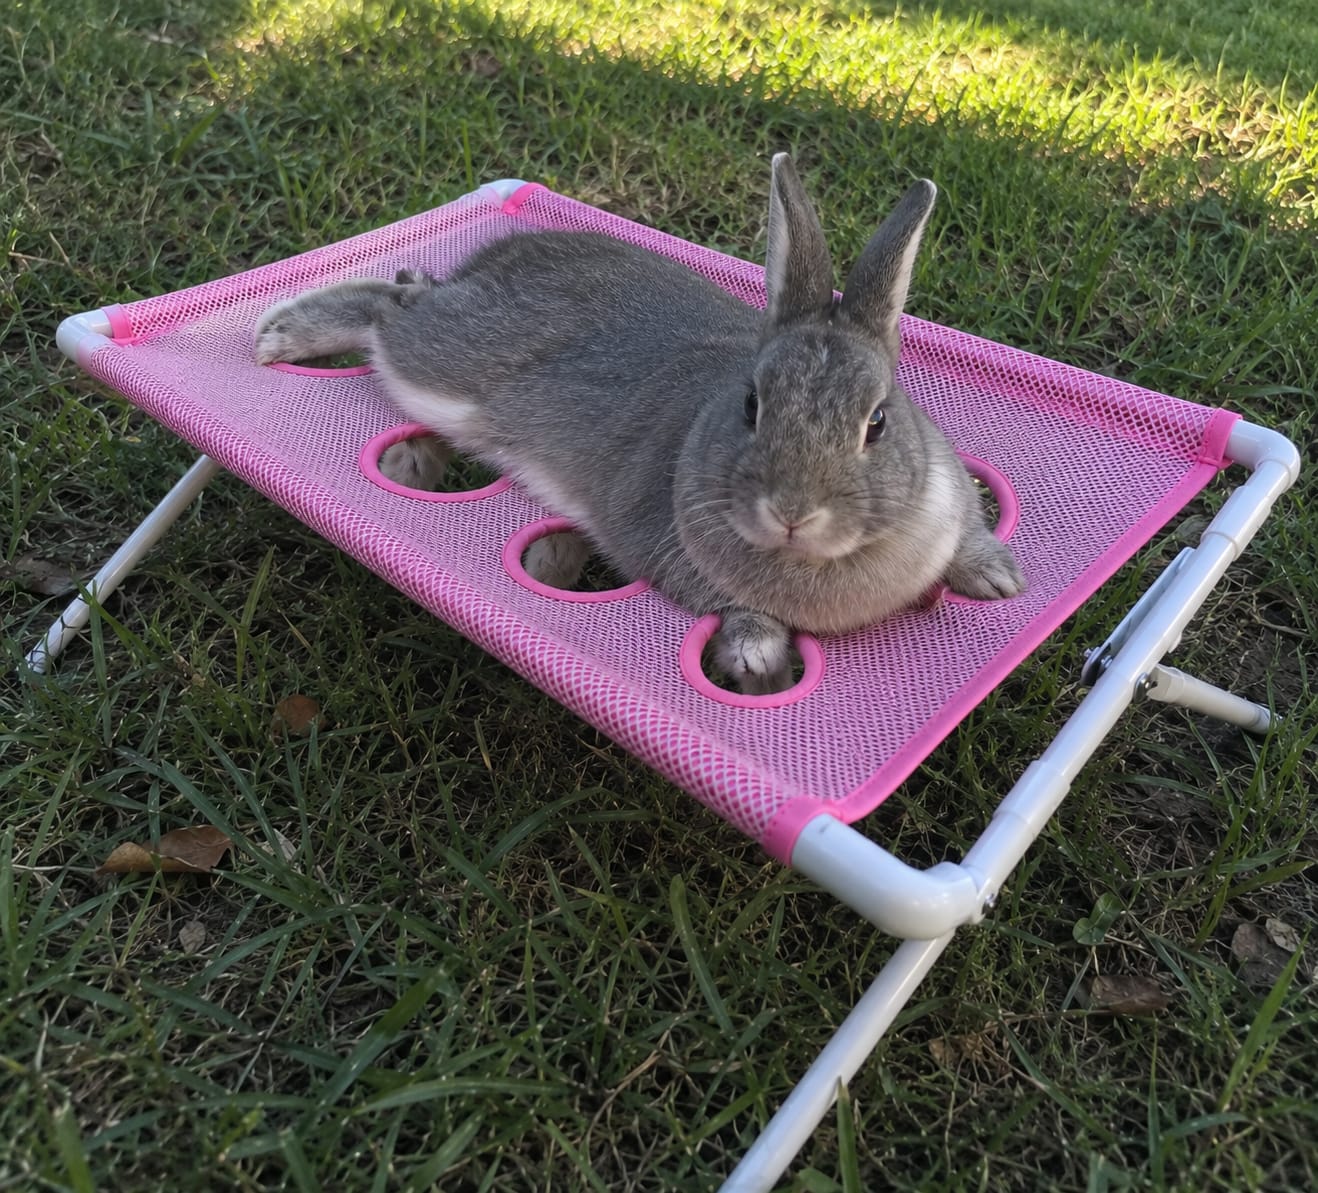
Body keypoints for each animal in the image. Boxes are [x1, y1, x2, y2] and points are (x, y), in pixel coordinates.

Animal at [253, 154, 1026, 694]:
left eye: (879, 421)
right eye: (752, 404)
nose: (792, 512)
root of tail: (493, 262)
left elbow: (969, 535)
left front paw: (998, 579)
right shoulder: (666, 544)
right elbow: (732, 608)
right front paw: (756, 653)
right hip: (444, 366)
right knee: (389, 310)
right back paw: (278, 336)